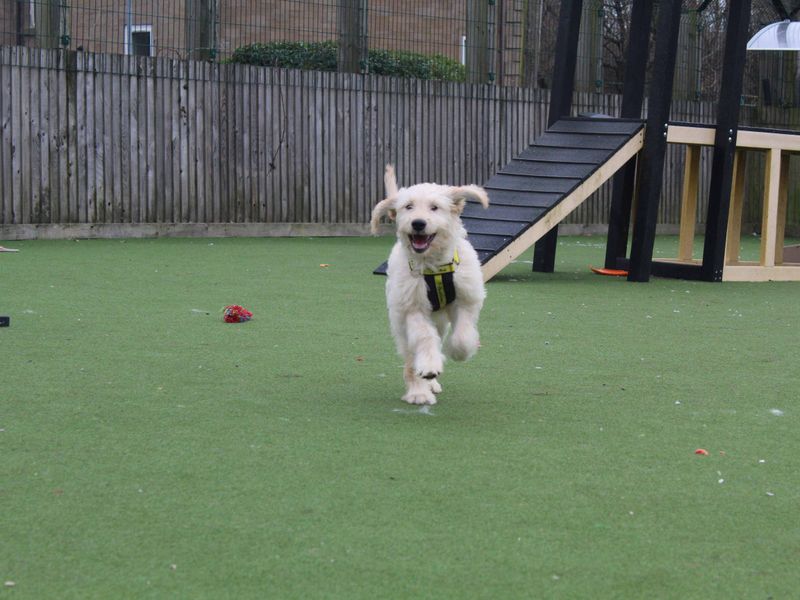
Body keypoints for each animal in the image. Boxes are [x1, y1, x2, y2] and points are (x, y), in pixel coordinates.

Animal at [372, 166, 490, 406]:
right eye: (408, 206)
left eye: (435, 207)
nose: (418, 223)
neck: (433, 268)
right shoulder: (412, 307)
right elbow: (425, 338)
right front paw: (427, 369)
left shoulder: (466, 300)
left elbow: (463, 334)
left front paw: (458, 352)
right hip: (401, 324)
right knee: (411, 357)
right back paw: (419, 391)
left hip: (440, 320)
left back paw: (432, 383)